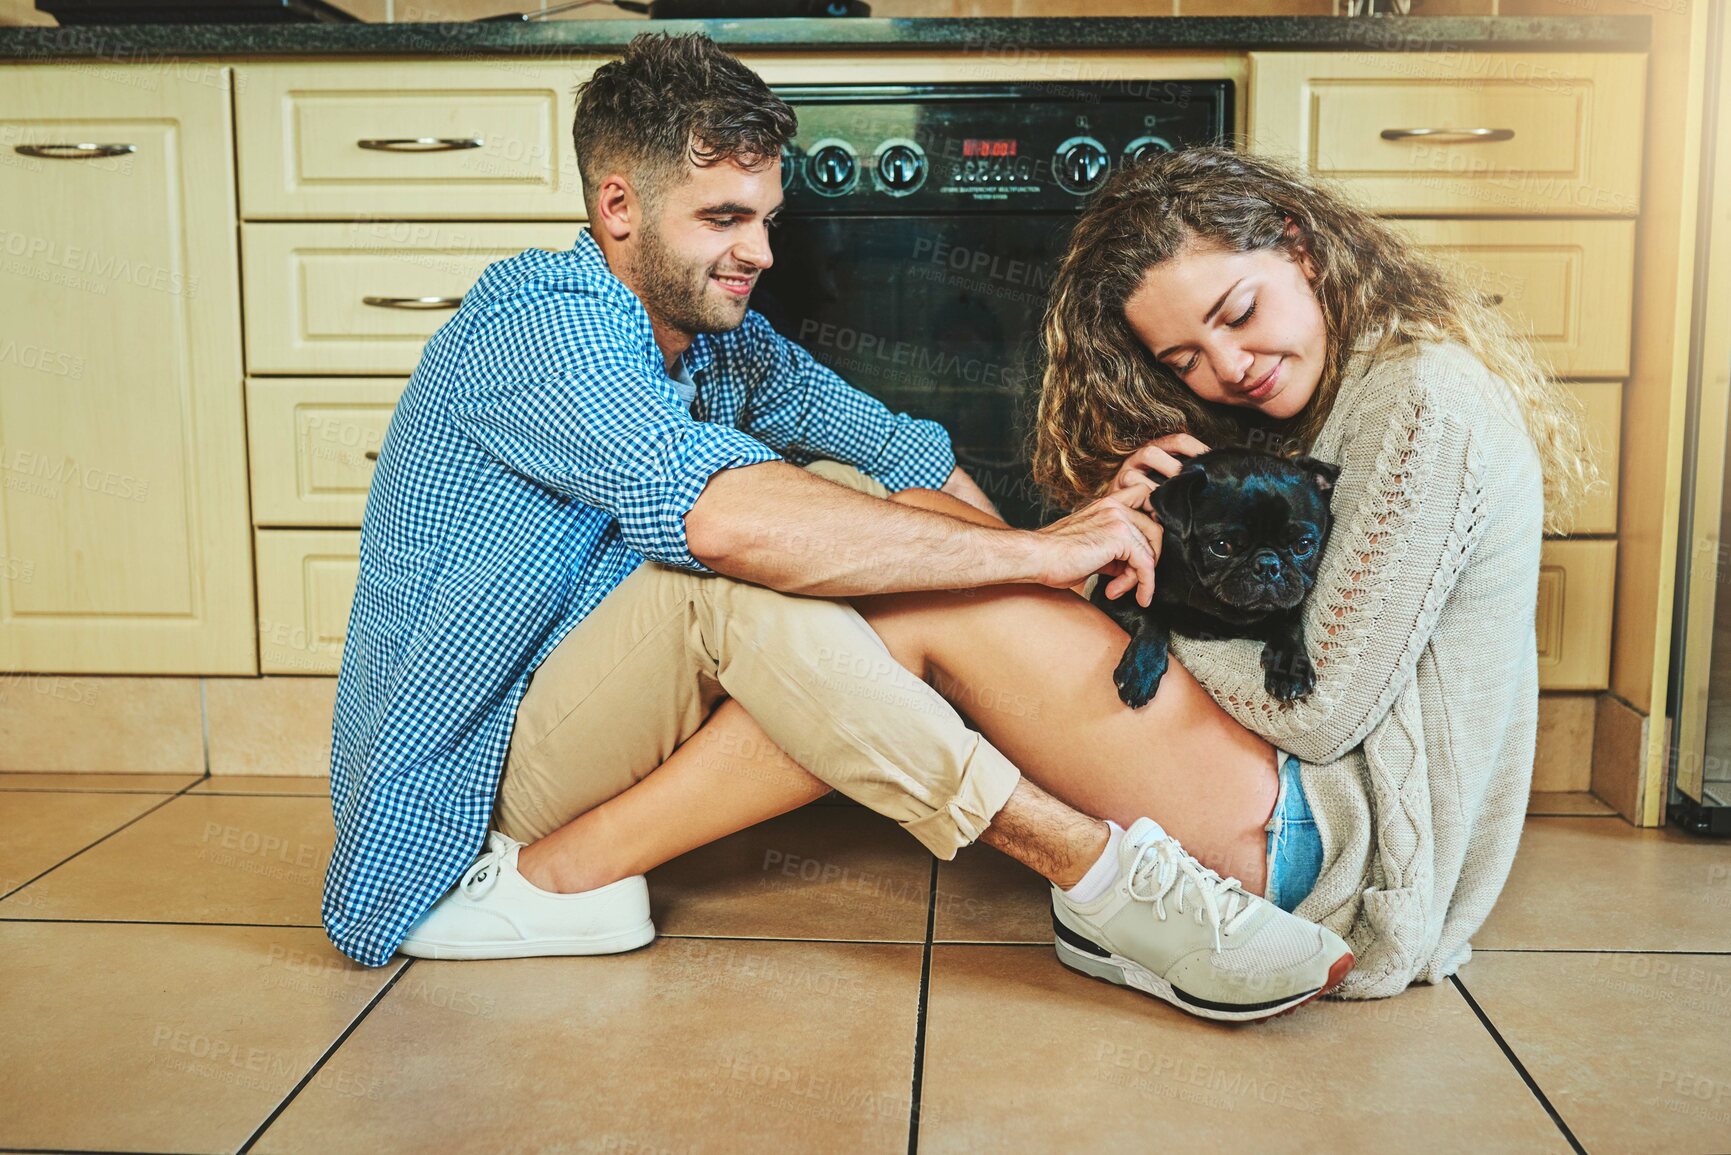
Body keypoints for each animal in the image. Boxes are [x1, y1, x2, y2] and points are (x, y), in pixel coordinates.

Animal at [1087, 446, 1343, 709]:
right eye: (1220, 547)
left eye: (1303, 546)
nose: (1267, 566)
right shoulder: (1112, 592)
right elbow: (1151, 617)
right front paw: (1141, 668)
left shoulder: (1287, 604)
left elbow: (1287, 622)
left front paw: (1289, 667)